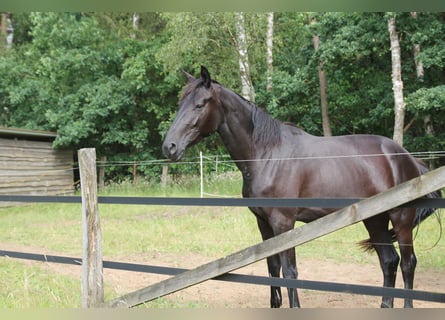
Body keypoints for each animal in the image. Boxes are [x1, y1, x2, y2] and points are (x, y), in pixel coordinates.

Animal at [161, 65, 438, 308]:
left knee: (408, 263)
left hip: (401, 219)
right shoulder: (264, 223)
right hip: (375, 219)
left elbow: (290, 271)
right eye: (180, 104)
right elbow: (273, 268)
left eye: (200, 104)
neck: (267, 154)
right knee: (389, 262)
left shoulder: (284, 223)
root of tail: (407, 157)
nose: (169, 147)